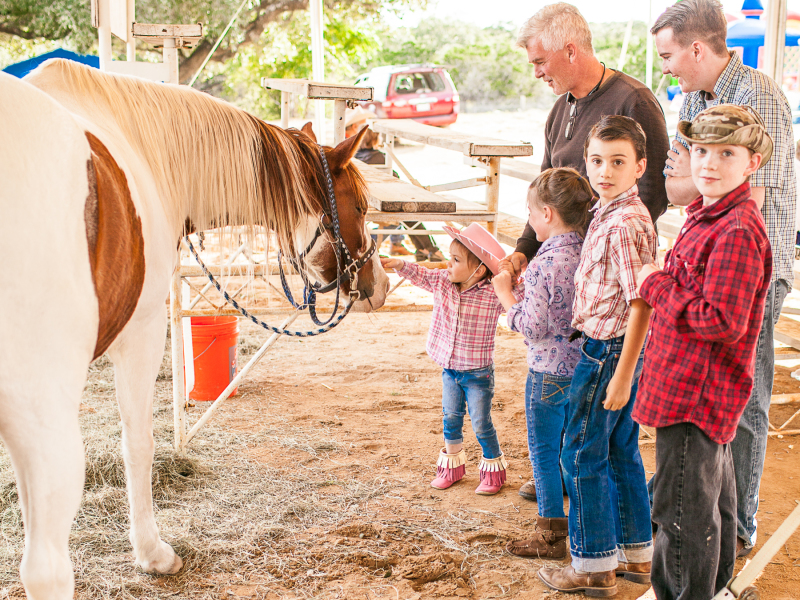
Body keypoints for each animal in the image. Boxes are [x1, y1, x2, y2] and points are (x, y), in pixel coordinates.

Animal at [0, 57, 390, 600]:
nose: (381, 284)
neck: (144, 148)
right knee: (46, 568)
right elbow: (138, 444)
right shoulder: (141, 336)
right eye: (359, 206)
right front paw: (153, 554)